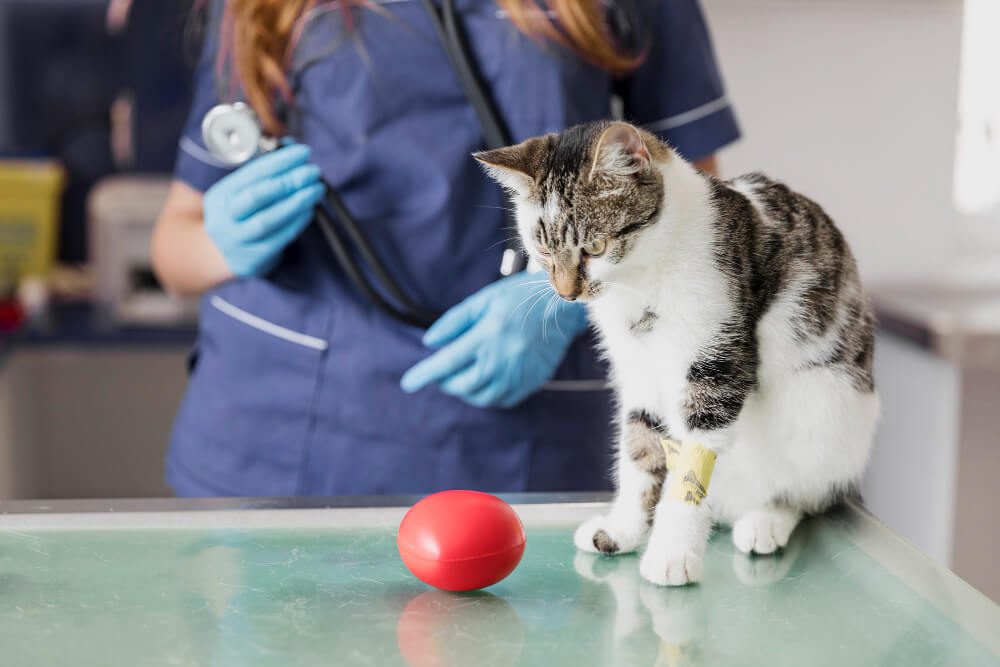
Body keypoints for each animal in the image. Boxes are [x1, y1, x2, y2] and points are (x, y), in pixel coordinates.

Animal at [474, 122, 876, 588]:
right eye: (542, 250)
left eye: (595, 246)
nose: (566, 292)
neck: (639, 280)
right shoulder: (637, 370)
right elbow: (639, 451)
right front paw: (622, 529)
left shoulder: (716, 360)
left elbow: (690, 465)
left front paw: (671, 552)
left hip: (826, 403)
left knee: (808, 492)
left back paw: (766, 520)